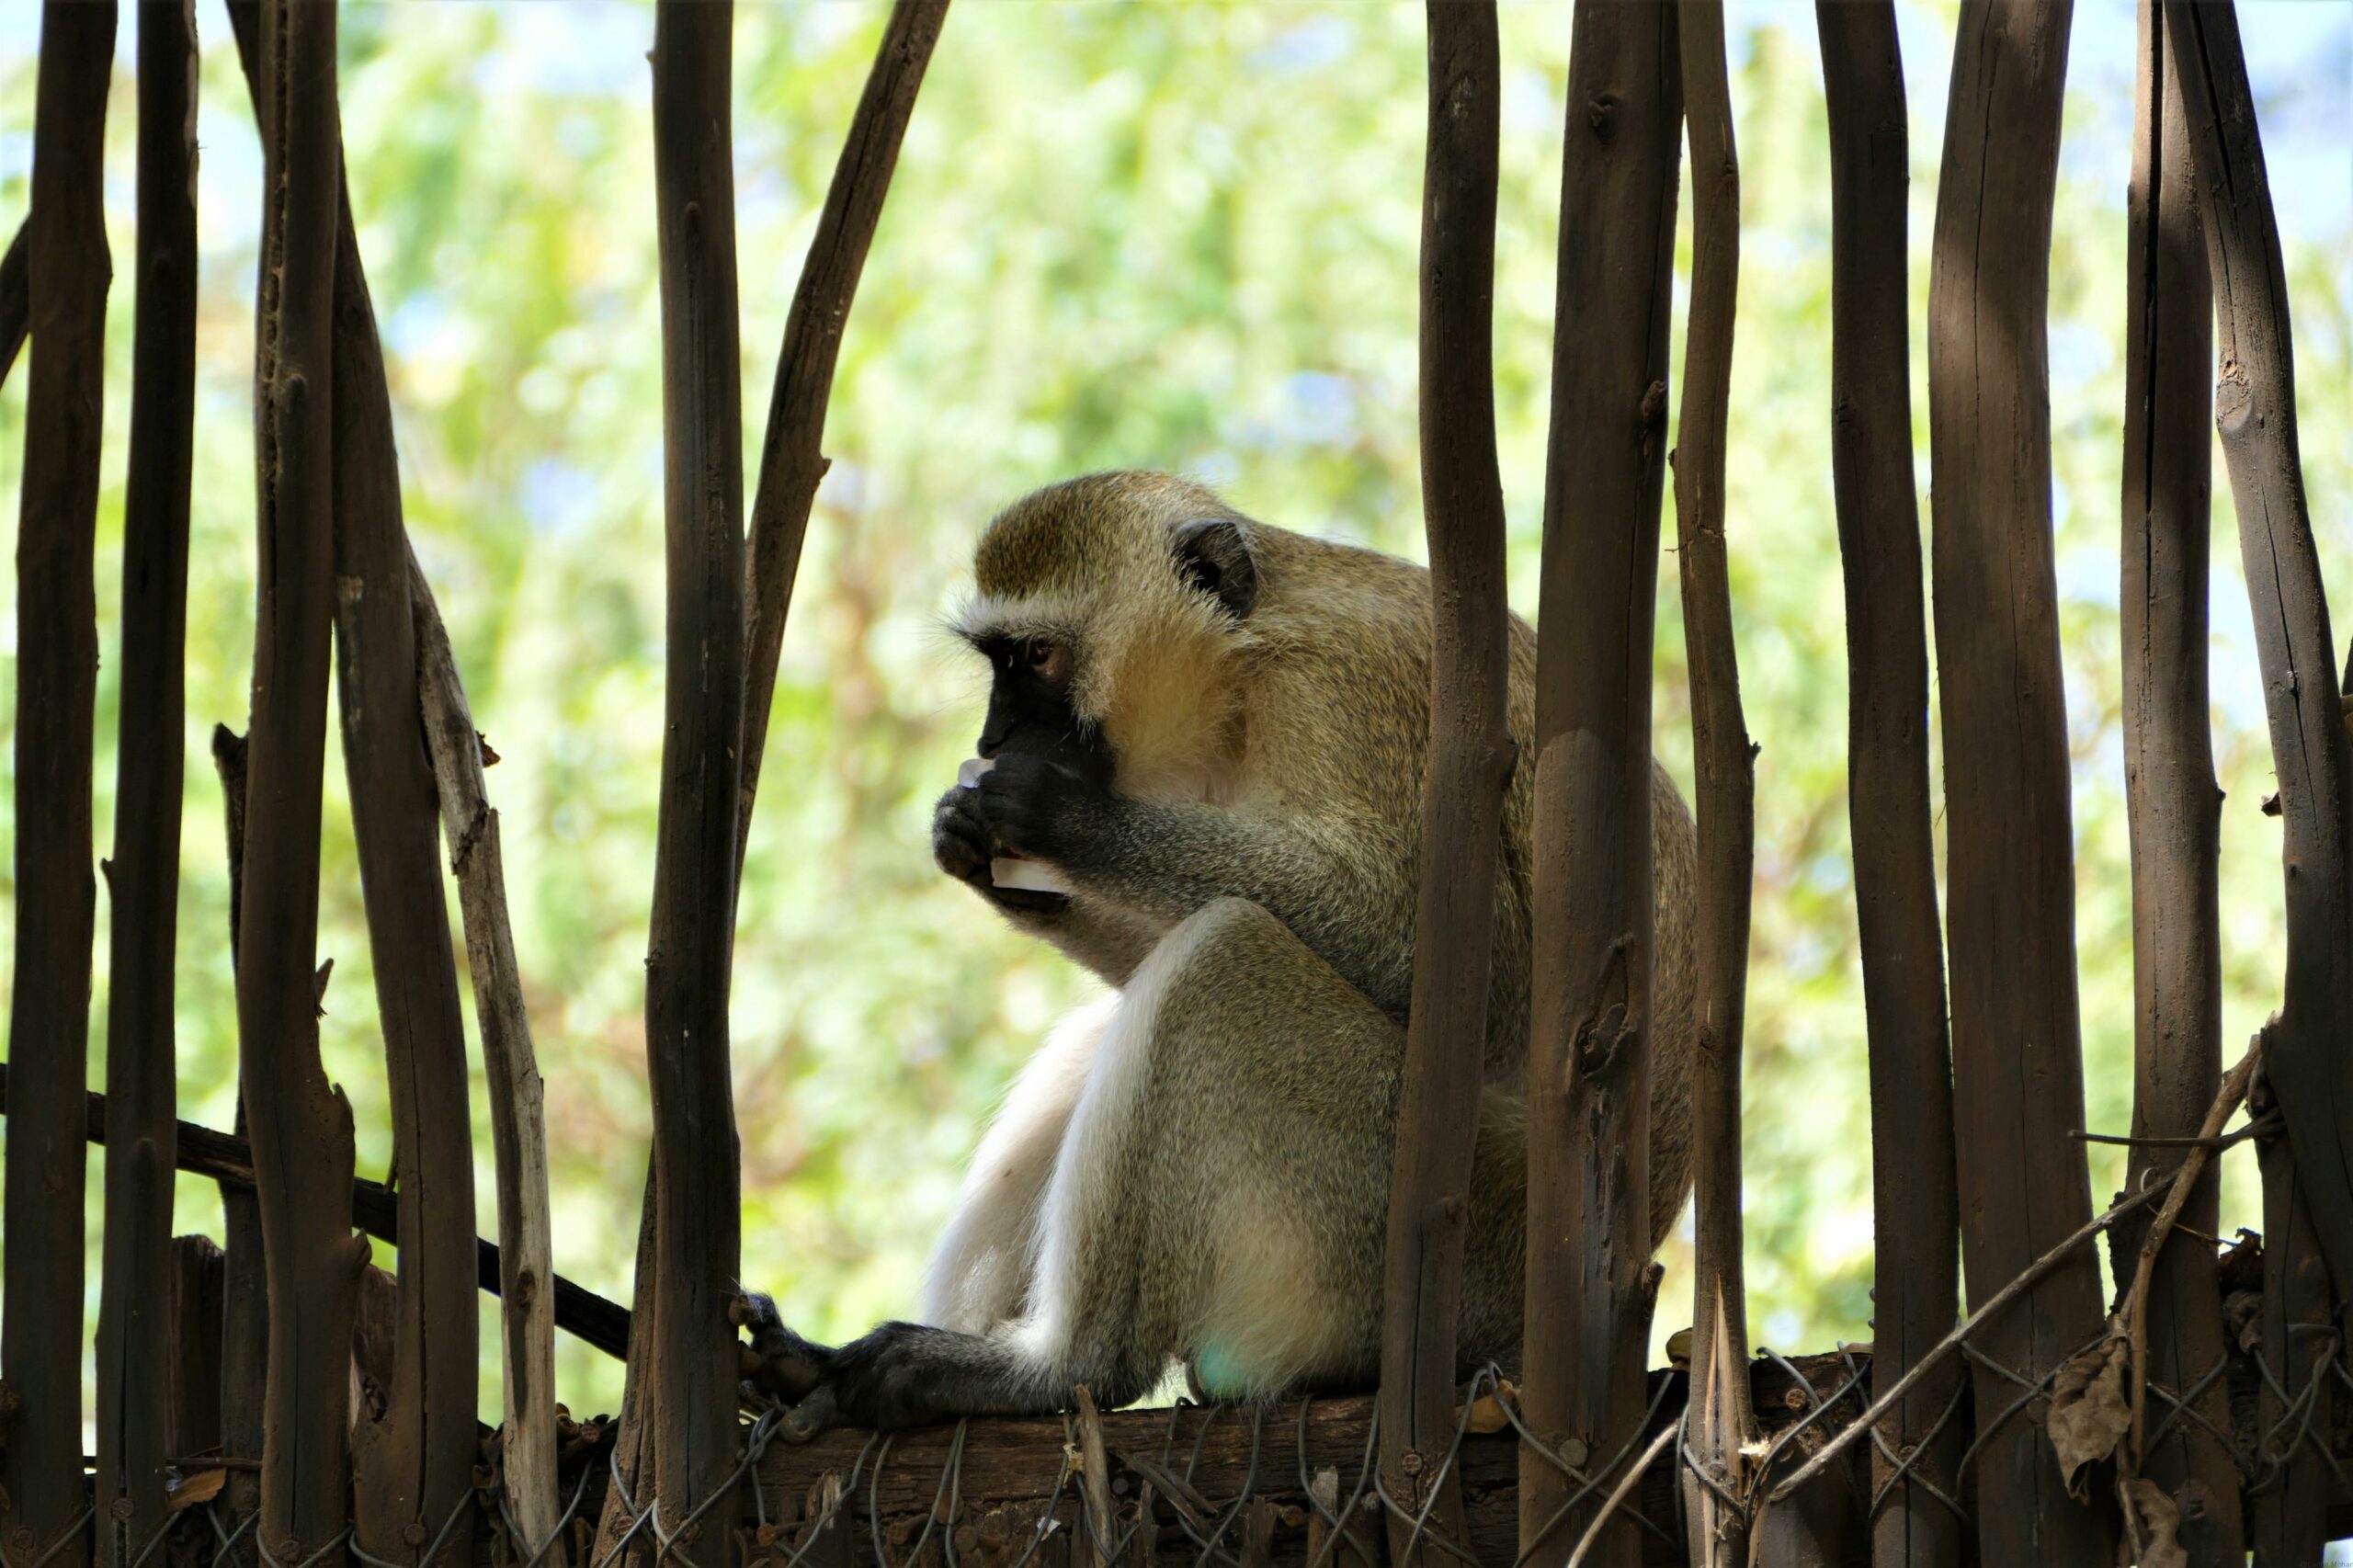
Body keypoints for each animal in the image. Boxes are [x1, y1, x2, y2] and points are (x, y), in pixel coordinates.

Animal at [753, 466, 1694, 1431]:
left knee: (1221, 953)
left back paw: (1056, 1371)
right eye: (997, 664)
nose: (992, 741)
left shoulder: (1350, 692)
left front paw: (1058, 820)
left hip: (1407, 1231)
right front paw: (976, 845)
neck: (1246, 654)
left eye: (1039, 658)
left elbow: (1457, 963)